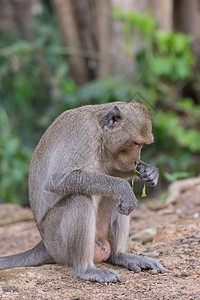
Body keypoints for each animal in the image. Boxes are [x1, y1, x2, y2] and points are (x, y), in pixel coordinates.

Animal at [0, 102, 165, 282]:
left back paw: (119, 255)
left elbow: (113, 172)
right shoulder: (84, 135)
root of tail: (44, 245)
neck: (100, 133)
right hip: (57, 243)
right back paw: (86, 269)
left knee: (115, 200)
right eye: (136, 143)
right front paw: (124, 187)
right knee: (80, 200)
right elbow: (57, 180)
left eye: (141, 145)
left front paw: (148, 171)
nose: (136, 160)